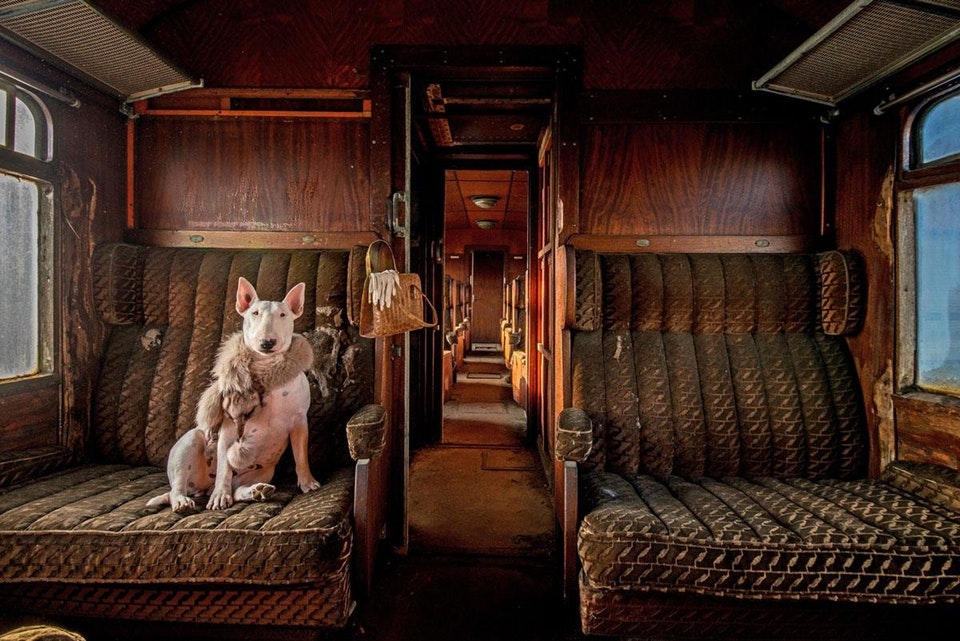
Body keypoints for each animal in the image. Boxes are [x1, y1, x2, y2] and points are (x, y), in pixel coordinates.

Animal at [146, 278, 318, 512]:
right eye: (254, 313)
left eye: (283, 315)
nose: (267, 342)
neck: (267, 372)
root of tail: (204, 487)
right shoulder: (228, 427)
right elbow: (224, 468)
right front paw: (220, 497)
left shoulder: (299, 420)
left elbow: (301, 455)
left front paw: (308, 482)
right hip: (189, 445)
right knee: (179, 487)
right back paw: (186, 500)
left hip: (263, 470)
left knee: (238, 490)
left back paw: (257, 491)